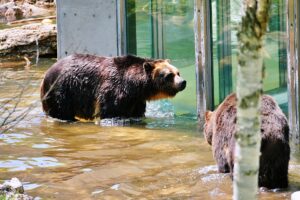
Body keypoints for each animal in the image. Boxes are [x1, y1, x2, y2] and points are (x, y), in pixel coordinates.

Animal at [39, 54, 185, 121]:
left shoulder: (136, 100)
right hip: (62, 91)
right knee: (61, 111)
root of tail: (46, 73)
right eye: (169, 75)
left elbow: (137, 113)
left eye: (178, 72)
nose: (183, 82)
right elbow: (110, 112)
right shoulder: (113, 91)